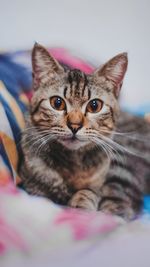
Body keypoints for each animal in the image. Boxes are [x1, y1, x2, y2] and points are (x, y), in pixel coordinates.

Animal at [18, 43, 150, 220]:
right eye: (57, 103)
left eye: (94, 106)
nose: (74, 125)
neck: (73, 162)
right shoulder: (32, 183)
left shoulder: (100, 179)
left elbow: (88, 192)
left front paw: (81, 206)